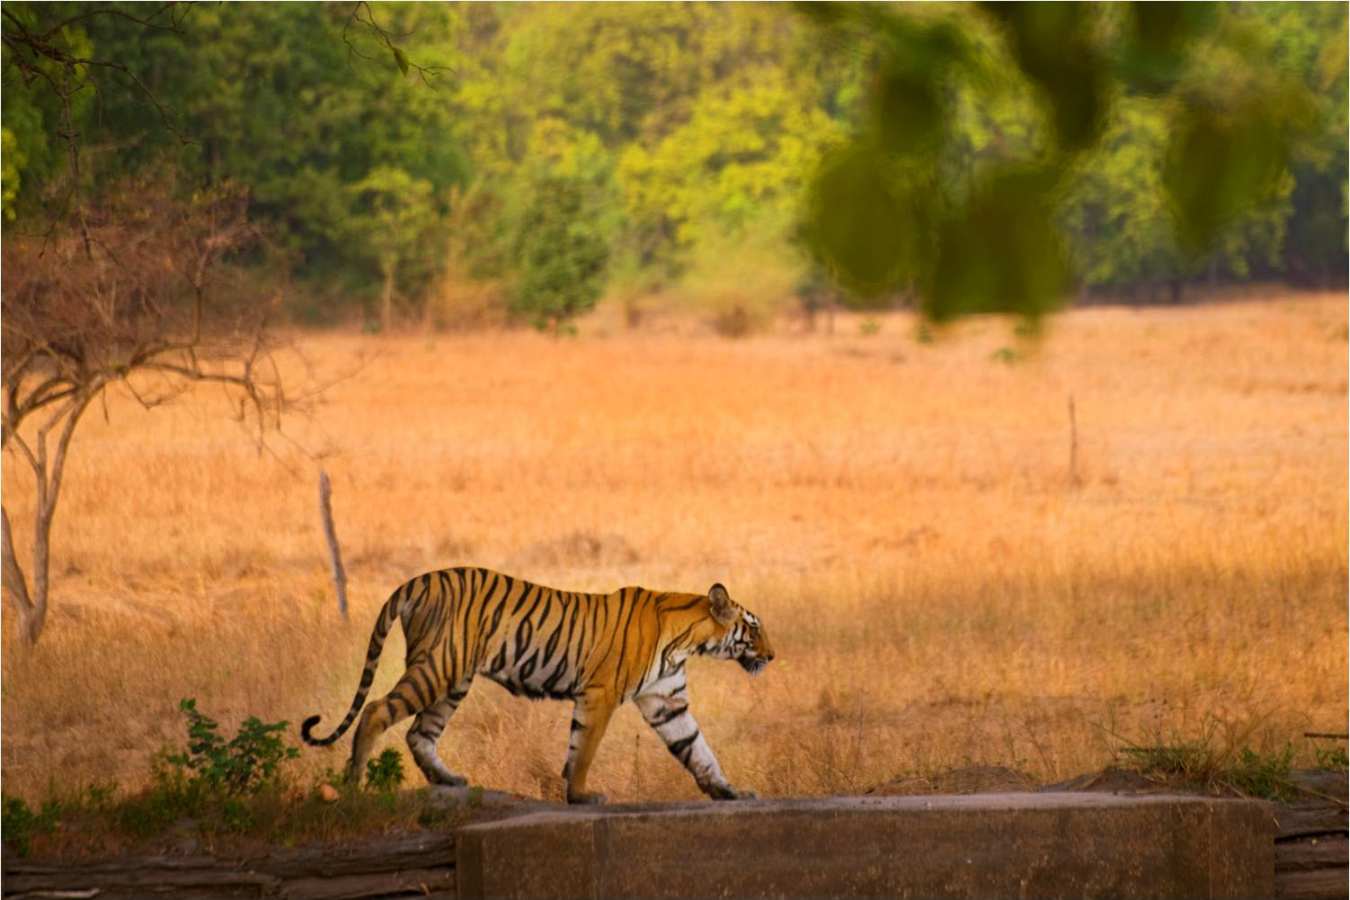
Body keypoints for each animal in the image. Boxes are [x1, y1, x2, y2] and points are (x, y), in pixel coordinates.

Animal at [301, 567, 774, 803]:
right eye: (754, 629)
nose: (771, 656)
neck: (686, 641)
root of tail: (417, 579)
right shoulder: (600, 694)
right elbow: (583, 749)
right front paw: (581, 795)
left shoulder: (666, 701)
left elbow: (698, 749)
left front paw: (728, 791)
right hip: (440, 665)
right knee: (375, 710)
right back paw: (354, 783)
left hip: (454, 679)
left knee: (420, 733)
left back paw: (448, 780)